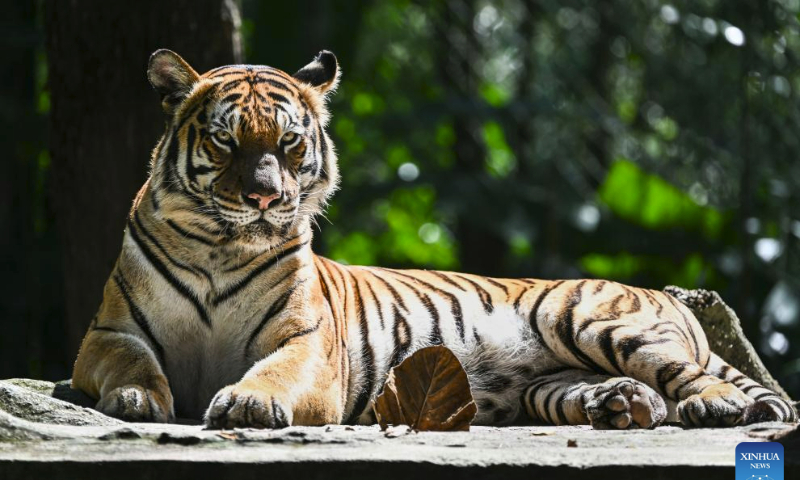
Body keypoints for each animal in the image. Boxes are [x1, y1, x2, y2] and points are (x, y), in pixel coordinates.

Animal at [71, 49, 797, 430]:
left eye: (290, 143)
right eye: (226, 141)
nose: (264, 198)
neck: (222, 247)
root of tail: (668, 296)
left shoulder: (309, 344)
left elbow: (275, 369)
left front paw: (250, 399)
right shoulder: (108, 332)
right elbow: (130, 360)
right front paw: (137, 397)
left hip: (593, 318)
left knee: (693, 377)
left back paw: (715, 406)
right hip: (547, 382)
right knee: (627, 393)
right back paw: (622, 406)